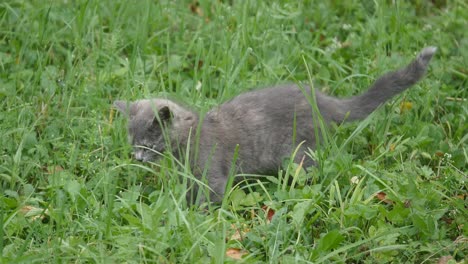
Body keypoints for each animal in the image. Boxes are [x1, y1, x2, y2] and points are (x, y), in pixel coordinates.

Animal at [115, 47, 436, 203]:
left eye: (148, 144)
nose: (137, 157)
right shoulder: (191, 177)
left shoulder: (213, 174)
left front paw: (198, 218)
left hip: (299, 154)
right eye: (133, 144)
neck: (187, 140)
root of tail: (321, 100)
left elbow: (211, 197)